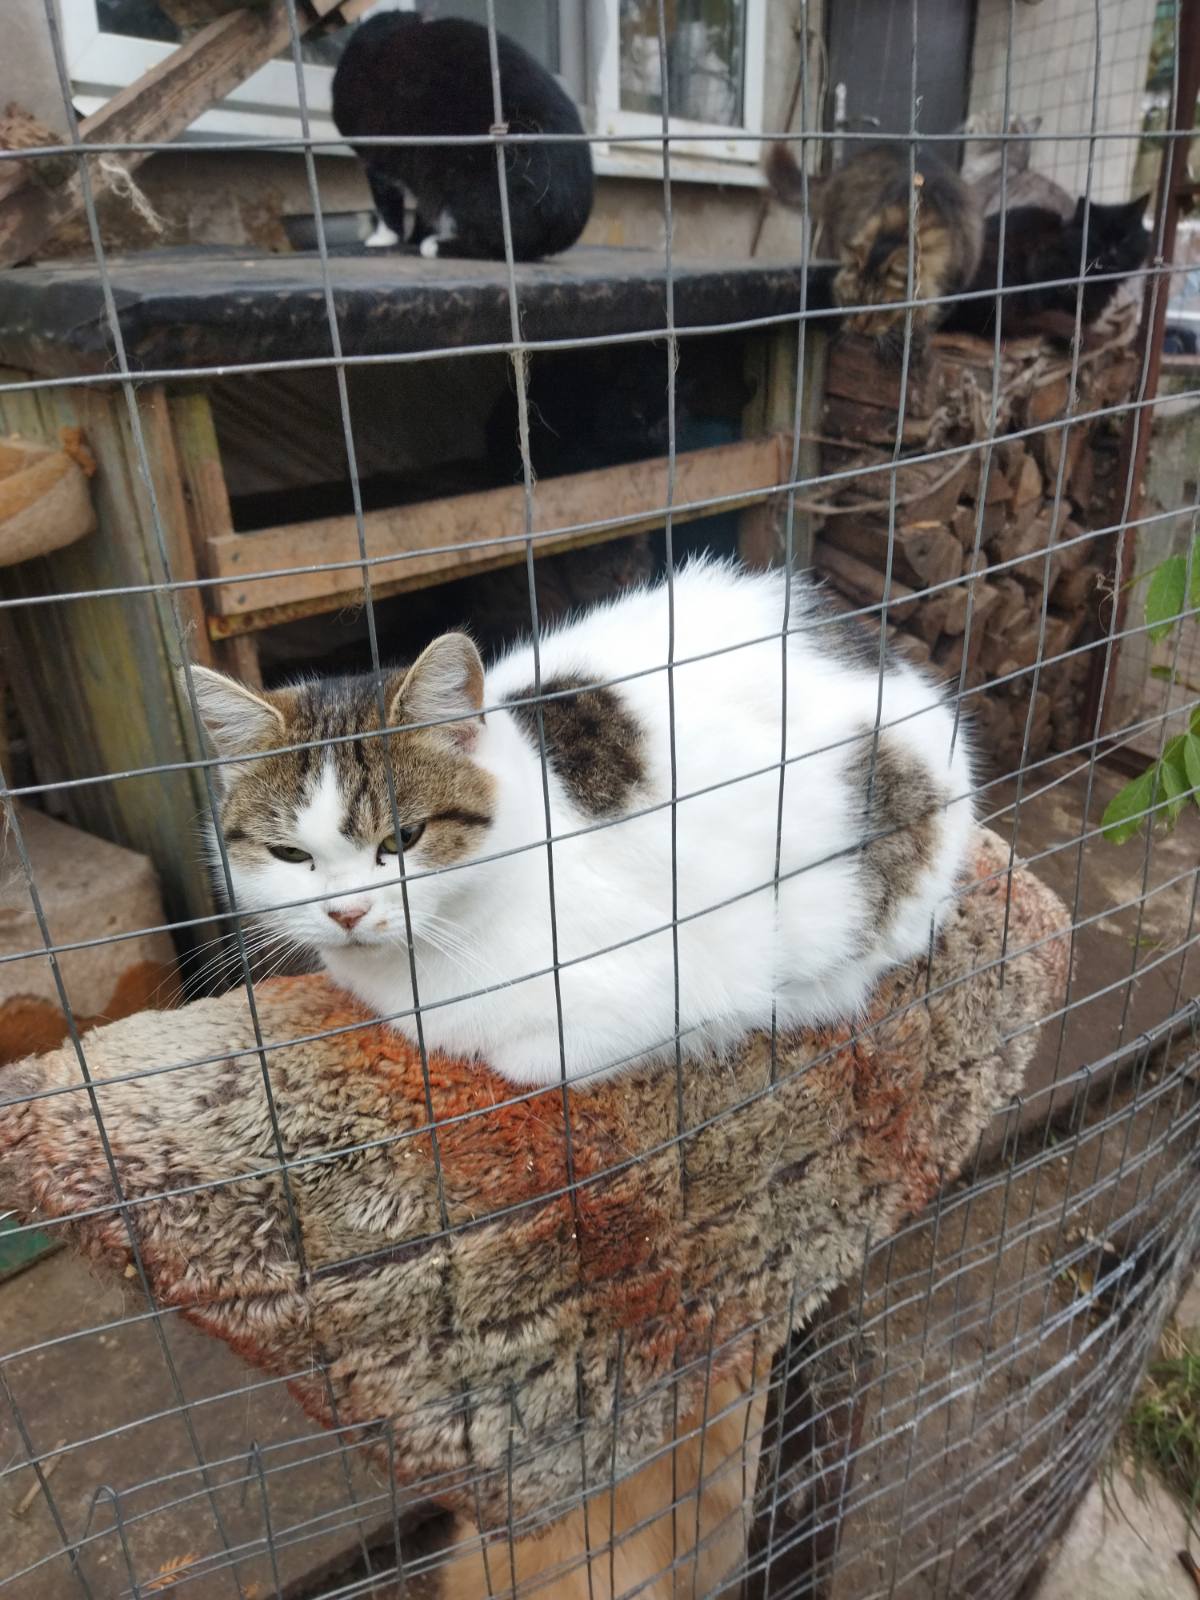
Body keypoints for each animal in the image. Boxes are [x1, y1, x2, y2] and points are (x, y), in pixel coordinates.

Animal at [331, 12, 594, 261]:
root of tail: (568, 221)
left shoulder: (376, 151)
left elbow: (386, 201)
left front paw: (385, 237)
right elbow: (418, 210)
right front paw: (414, 236)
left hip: (476, 187)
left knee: (500, 243)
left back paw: (435, 246)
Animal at [766, 141, 983, 357]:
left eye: (882, 307)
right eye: (852, 300)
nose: (860, 328)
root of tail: (838, 173)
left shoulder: (953, 288)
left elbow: (930, 318)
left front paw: (915, 341)